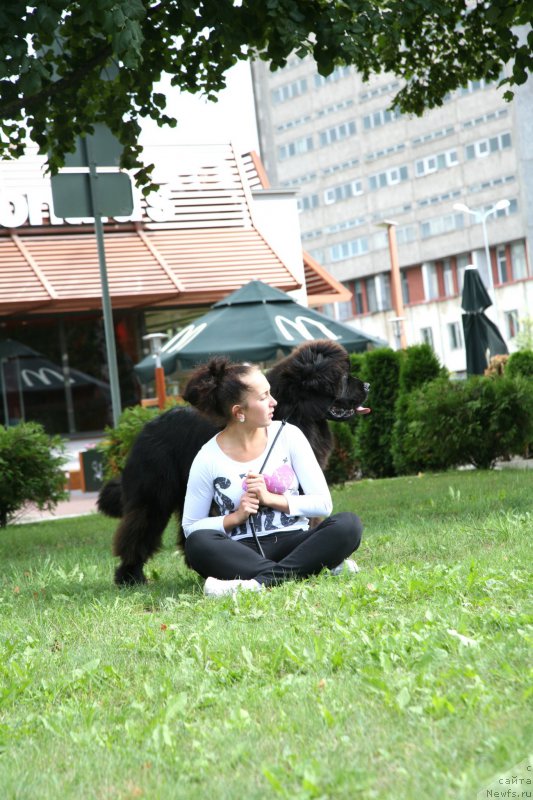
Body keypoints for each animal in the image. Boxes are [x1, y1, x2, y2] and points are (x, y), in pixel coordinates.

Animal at [97, 340, 368, 588]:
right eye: (344, 377)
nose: (367, 385)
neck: (293, 409)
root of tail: (145, 428)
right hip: (153, 495)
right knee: (138, 530)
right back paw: (130, 575)